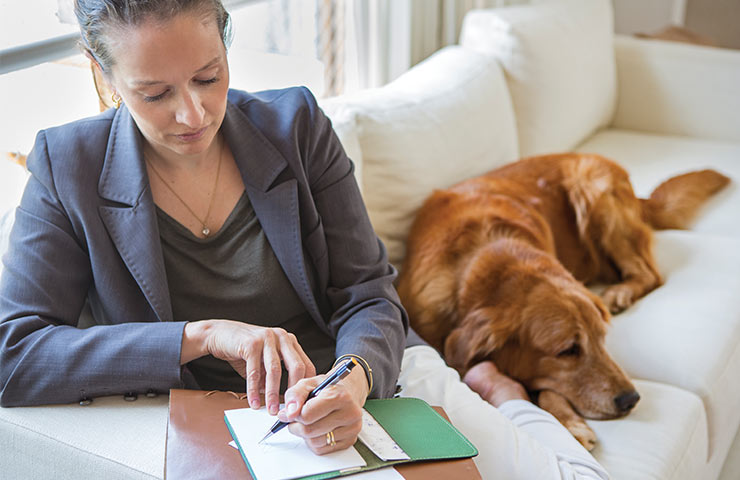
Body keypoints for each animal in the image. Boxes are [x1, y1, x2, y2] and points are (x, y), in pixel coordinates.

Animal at [398, 154, 728, 450]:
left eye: (602, 339)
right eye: (568, 351)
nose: (631, 399)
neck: (484, 255)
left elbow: (548, 390)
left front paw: (569, 423)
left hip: (593, 190)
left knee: (650, 273)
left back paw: (619, 293)